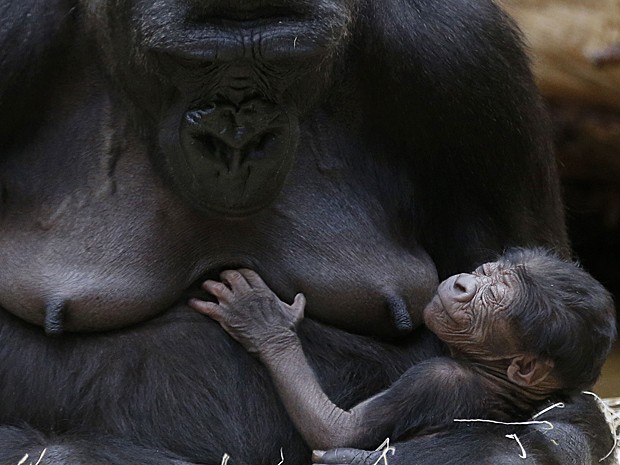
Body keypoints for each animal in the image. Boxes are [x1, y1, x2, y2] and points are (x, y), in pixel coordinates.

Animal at [189, 250, 616, 450]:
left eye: (492, 298)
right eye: (485, 273)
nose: (463, 284)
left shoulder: (435, 380)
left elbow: (338, 432)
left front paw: (265, 323)